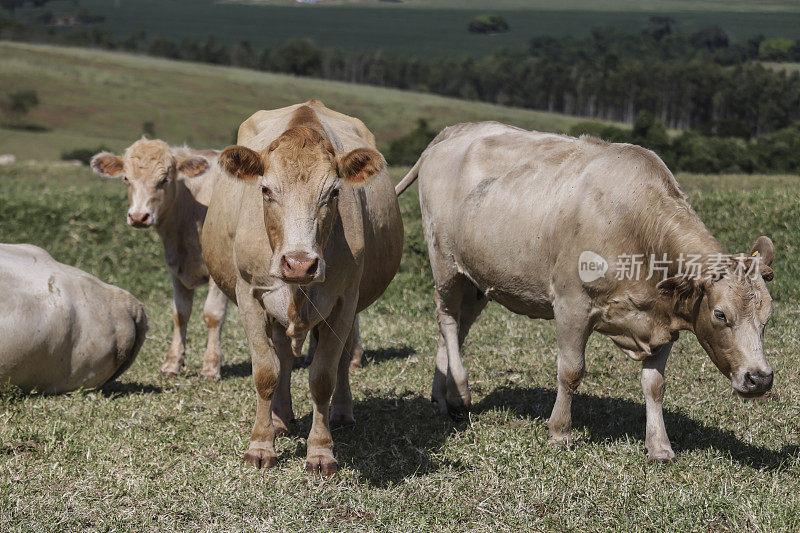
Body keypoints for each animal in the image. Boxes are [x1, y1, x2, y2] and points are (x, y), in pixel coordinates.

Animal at [94, 137, 231, 378]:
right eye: (126, 178)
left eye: (165, 179)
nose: (138, 216)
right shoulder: (176, 269)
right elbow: (180, 314)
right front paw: (172, 363)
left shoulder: (219, 272)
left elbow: (213, 315)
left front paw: (211, 367)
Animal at [203, 101, 404, 474]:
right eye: (266, 190)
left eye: (334, 192)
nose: (299, 264)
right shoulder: (249, 295)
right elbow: (266, 372)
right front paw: (261, 445)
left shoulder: (344, 300)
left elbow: (323, 376)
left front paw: (321, 451)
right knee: (282, 355)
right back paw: (280, 419)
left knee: (341, 359)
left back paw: (341, 412)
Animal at [396, 122, 780, 464]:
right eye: (720, 314)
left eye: (767, 319)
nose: (760, 378)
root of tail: (455, 131)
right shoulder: (572, 305)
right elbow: (571, 371)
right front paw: (560, 432)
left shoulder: (663, 318)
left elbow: (655, 384)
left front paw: (659, 447)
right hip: (445, 263)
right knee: (447, 320)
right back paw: (460, 393)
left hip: (477, 281)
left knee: (456, 328)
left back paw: (441, 395)